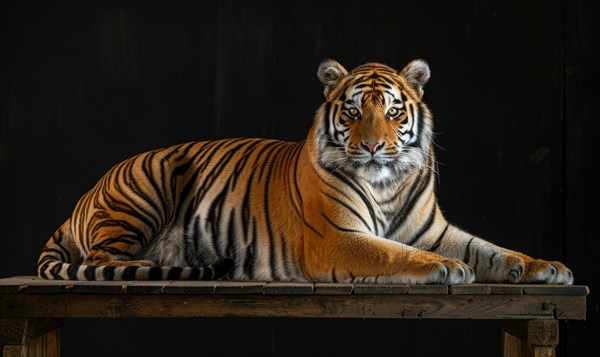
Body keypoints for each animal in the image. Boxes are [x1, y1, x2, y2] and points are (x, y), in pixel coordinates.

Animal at [36, 59, 572, 286]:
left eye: (393, 111)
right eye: (353, 112)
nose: (373, 146)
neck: (387, 183)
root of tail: (80, 201)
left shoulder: (433, 230)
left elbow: (492, 249)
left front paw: (546, 267)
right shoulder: (336, 237)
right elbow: (391, 253)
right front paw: (444, 268)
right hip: (149, 181)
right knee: (102, 259)